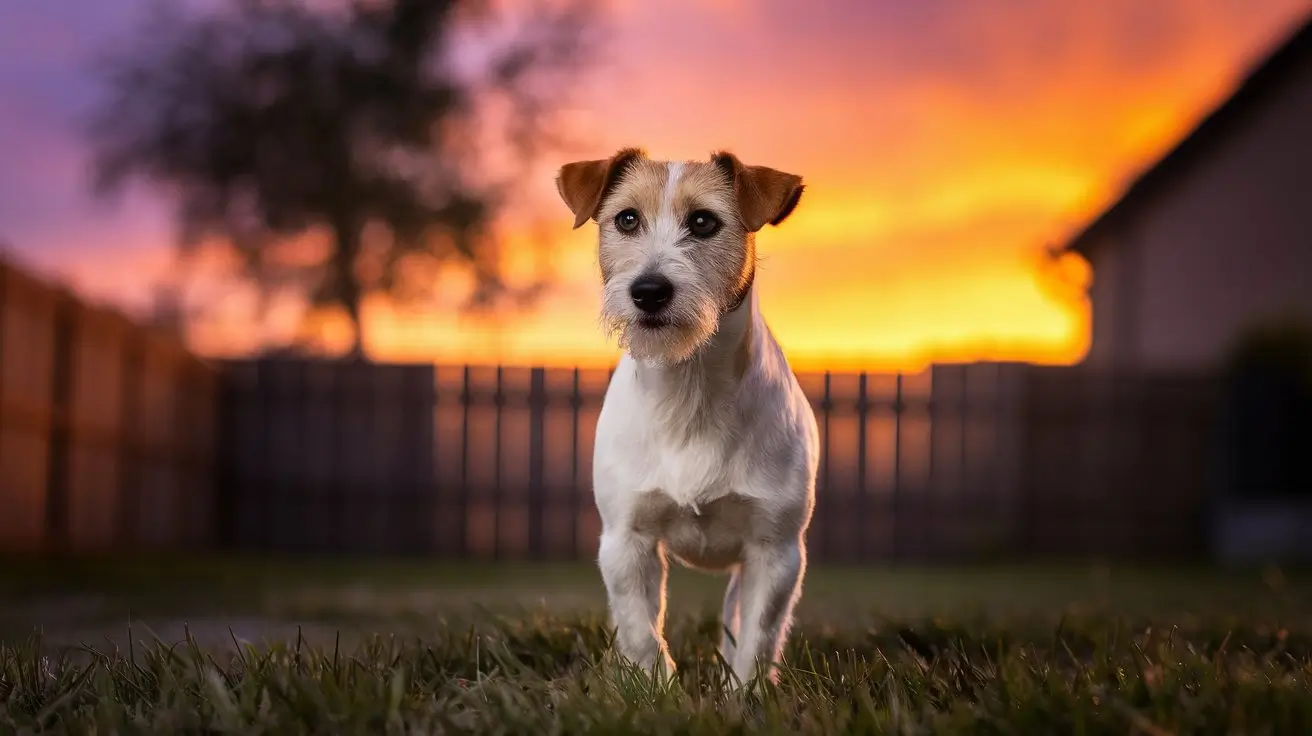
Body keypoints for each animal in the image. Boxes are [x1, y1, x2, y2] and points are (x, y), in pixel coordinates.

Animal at [553, 147, 818, 682]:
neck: (689, 391)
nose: (649, 290)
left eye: (703, 221)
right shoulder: (626, 540)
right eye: (627, 219)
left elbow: (757, 639)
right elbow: (641, 630)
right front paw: (655, 687)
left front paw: (747, 694)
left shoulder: (776, 552)